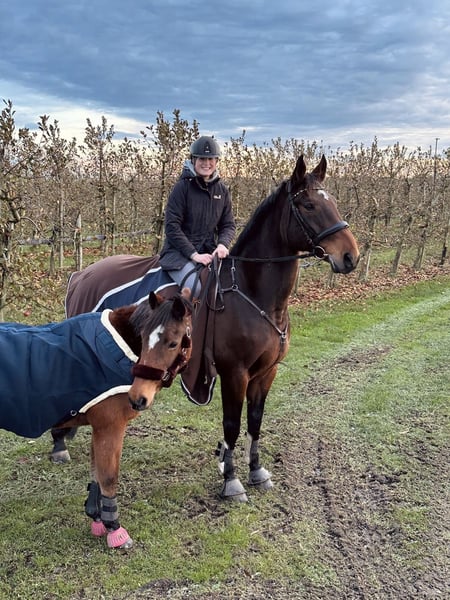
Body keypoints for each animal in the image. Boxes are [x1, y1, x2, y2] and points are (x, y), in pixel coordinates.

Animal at [0, 291, 192, 548]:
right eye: (143, 338)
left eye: (173, 342)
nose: (138, 398)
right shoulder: (110, 427)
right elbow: (109, 477)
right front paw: (115, 530)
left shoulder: (99, 428)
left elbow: (97, 474)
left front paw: (97, 518)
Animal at [53, 155, 359, 502]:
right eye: (308, 205)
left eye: (333, 202)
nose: (350, 256)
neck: (253, 294)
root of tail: (81, 274)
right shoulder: (234, 373)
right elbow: (232, 425)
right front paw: (232, 480)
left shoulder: (266, 373)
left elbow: (255, 422)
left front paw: (256, 471)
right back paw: (59, 443)